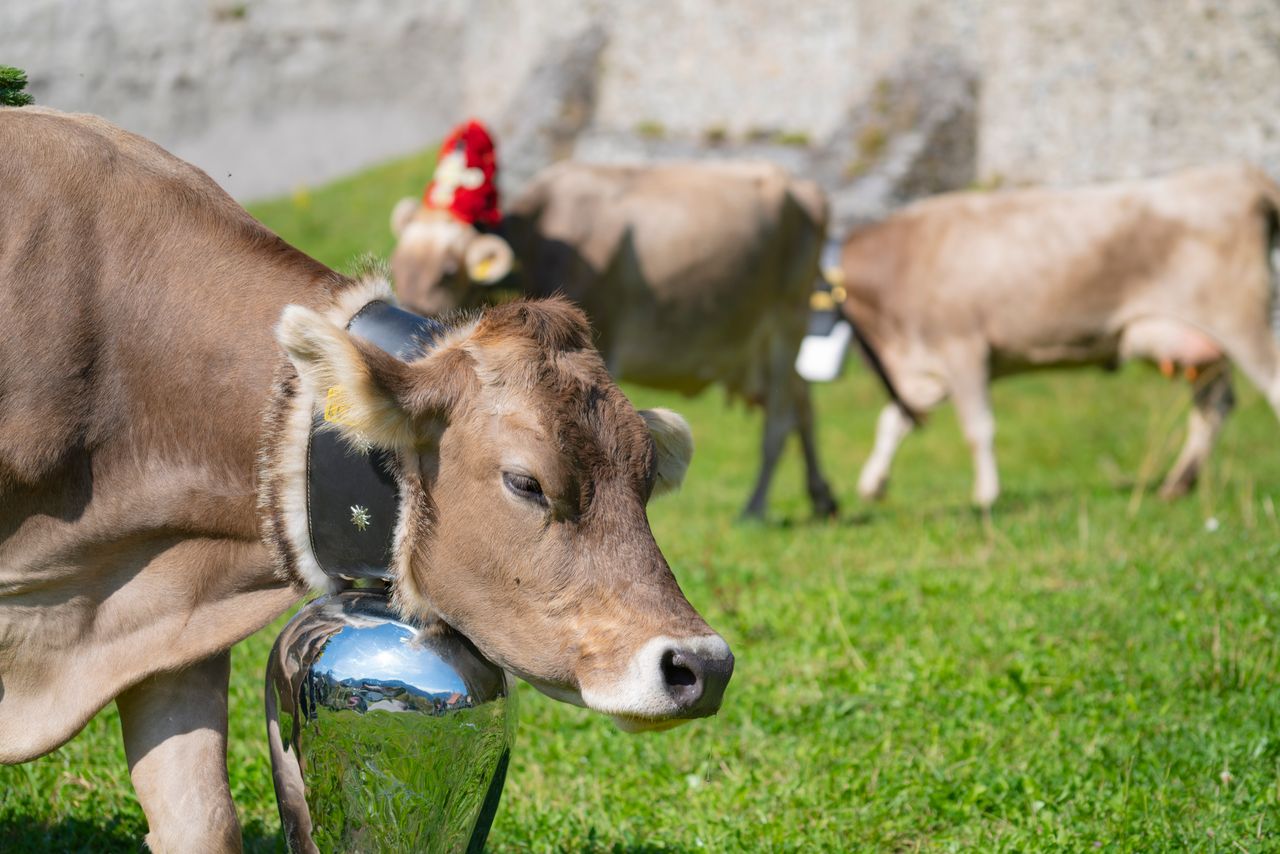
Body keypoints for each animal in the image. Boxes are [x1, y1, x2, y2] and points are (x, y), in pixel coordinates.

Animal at [389, 159, 839, 520]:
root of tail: (804, 186)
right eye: (398, 264)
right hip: (752, 348)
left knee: (780, 416)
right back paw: (823, 498)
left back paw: (755, 508)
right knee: (803, 401)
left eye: (448, 272)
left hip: (788, 318)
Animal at [838, 163, 1280, 508]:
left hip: (1241, 319)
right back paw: (1178, 483)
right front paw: (873, 483)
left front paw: (986, 495)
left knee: (1268, 386)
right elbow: (893, 420)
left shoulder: (963, 348)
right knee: (1213, 405)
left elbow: (978, 428)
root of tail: (1243, 175)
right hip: (1202, 344)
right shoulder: (924, 370)